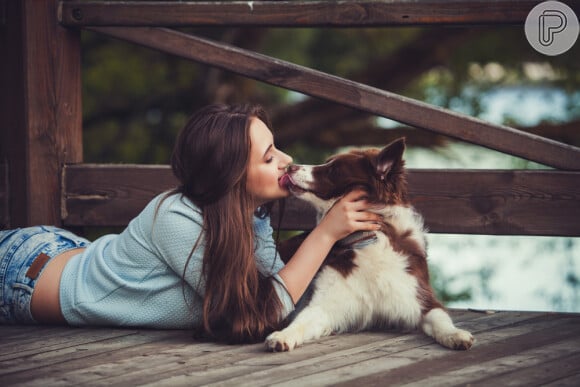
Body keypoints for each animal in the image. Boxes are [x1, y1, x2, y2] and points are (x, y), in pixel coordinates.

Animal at [266, 139, 474, 352]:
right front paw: (282, 335)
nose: (290, 166)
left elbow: (440, 319)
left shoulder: (421, 298)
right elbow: (301, 321)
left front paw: (455, 334)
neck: (366, 239)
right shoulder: (324, 304)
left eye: (334, 170)